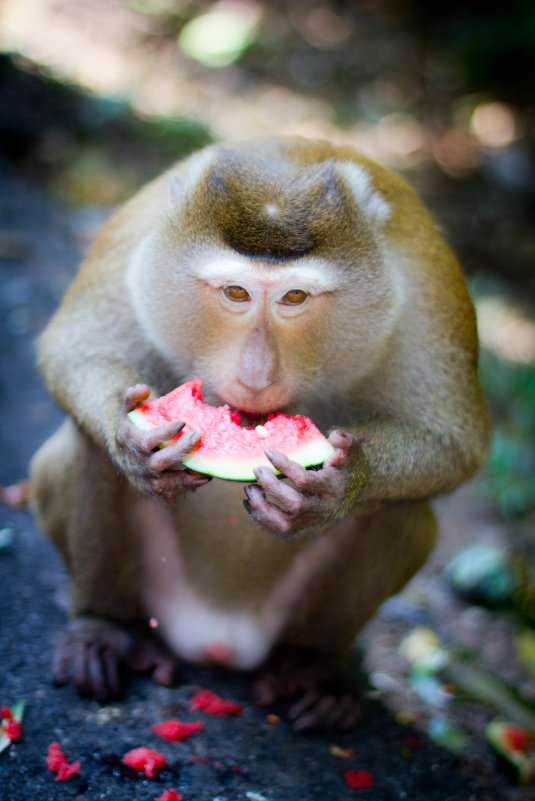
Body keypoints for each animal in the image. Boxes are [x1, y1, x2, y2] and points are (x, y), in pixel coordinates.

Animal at [30, 138, 490, 732]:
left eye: (294, 298)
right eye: (236, 292)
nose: (256, 374)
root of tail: (217, 639)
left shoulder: (428, 277)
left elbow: (454, 440)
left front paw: (338, 489)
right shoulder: (139, 231)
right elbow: (75, 346)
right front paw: (127, 441)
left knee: (399, 512)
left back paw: (315, 669)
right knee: (86, 449)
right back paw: (104, 630)